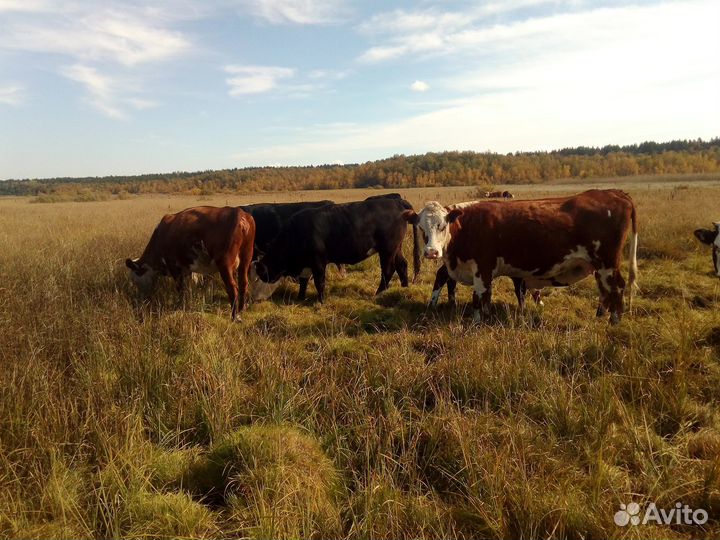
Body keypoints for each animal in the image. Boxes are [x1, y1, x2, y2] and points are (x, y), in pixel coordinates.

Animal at [125, 206, 255, 321]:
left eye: (135, 278)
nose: (141, 298)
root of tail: (239, 213)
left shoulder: (174, 267)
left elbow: (181, 289)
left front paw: (179, 307)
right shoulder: (186, 269)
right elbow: (188, 289)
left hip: (225, 263)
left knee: (232, 288)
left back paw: (234, 317)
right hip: (246, 257)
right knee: (243, 283)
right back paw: (241, 310)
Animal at [250, 195, 421, 303]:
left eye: (258, 277)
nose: (254, 298)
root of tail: (397, 202)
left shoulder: (318, 261)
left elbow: (319, 281)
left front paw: (320, 300)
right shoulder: (307, 263)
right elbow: (304, 280)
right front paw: (300, 297)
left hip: (387, 249)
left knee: (388, 270)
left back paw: (379, 293)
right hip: (395, 248)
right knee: (402, 265)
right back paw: (404, 288)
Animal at [403, 189, 638, 324]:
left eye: (442, 226)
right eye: (422, 228)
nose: (431, 252)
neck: (467, 226)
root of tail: (616, 193)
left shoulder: (482, 268)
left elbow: (480, 298)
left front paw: (479, 322)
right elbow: (481, 297)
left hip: (607, 262)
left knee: (617, 287)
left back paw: (614, 322)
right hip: (599, 265)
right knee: (605, 289)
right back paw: (601, 315)